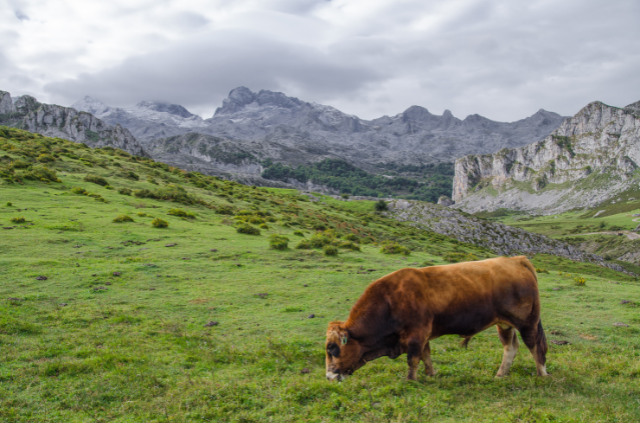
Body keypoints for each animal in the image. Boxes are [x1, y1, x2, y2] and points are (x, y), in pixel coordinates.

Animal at [328, 256, 548, 382]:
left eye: (332, 348)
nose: (329, 376)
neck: (390, 300)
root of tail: (516, 259)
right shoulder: (423, 335)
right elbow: (425, 355)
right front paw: (431, 374)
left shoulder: (416, 334)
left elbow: (413, 359)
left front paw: (411, 380)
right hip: (504, 324)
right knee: (510, 347)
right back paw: (501, 375)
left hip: (527, 322)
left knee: (534, 346)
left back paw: (542, 374)